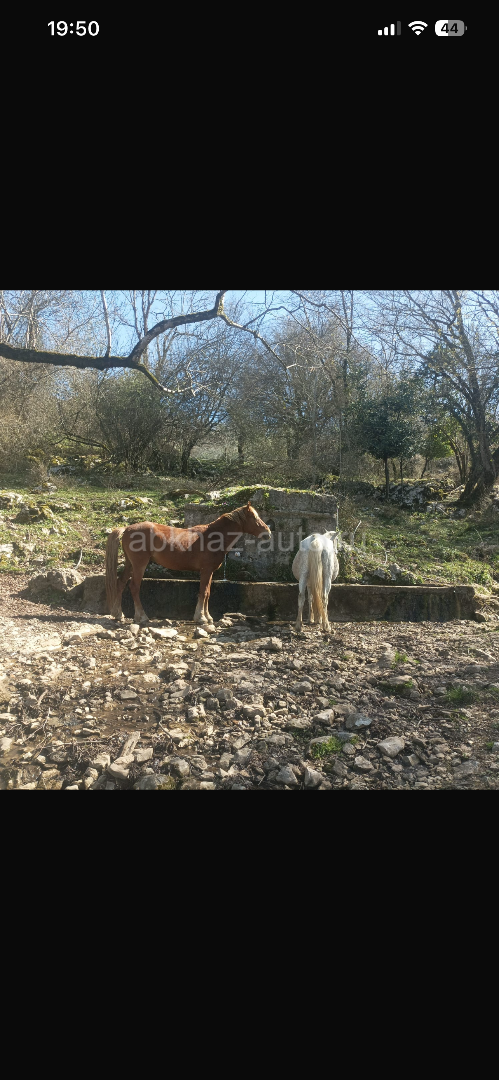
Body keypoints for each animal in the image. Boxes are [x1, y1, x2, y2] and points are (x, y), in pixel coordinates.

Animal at [105, 501, 271, 626]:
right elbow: (203, 592)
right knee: (134, 587)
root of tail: (127, 528)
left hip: (130, 564)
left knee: (120, 584)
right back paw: (142, 617)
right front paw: (201, 618)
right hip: (140, 565)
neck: (213, 537)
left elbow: (207, 592)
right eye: (254, 517)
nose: (268, 533)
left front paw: (207, 617)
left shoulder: (209, 572)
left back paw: (118, 614)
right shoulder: (206, 571)